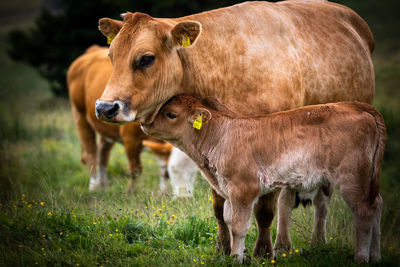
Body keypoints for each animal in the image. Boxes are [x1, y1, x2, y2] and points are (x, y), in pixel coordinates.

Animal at [67, 46, 172, 193]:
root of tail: (92, 50)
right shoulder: (130, 138)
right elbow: (136, 169)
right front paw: (130, 192)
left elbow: (163, 168)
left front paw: (163, 192)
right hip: (80, 115)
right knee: (91, 152)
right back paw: (94, 186)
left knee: (103, 153)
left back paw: (104, 185)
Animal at [95, 0, 374, 255]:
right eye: (111, 56)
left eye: (146, 59)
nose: (105, 107)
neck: (223, 68)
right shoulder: (215, 157)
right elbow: (220, 209)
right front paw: (222, 247)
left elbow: (264, 211)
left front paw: (262, 251)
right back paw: (284, 244)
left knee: (315, 200)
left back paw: (313, 241)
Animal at [141, 95, 388, 264]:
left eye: (171, 114)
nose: (145, 123)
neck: (221, 136)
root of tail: (357, 106)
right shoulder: (228, 191)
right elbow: (229, 220)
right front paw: (238, 255)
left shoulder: (244, 188)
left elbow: (239, 226)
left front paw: (235, 259)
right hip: (368, 179)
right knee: (377, 205)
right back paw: (376, 257)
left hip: (352, 176)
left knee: (365, 211)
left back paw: (361, 258)